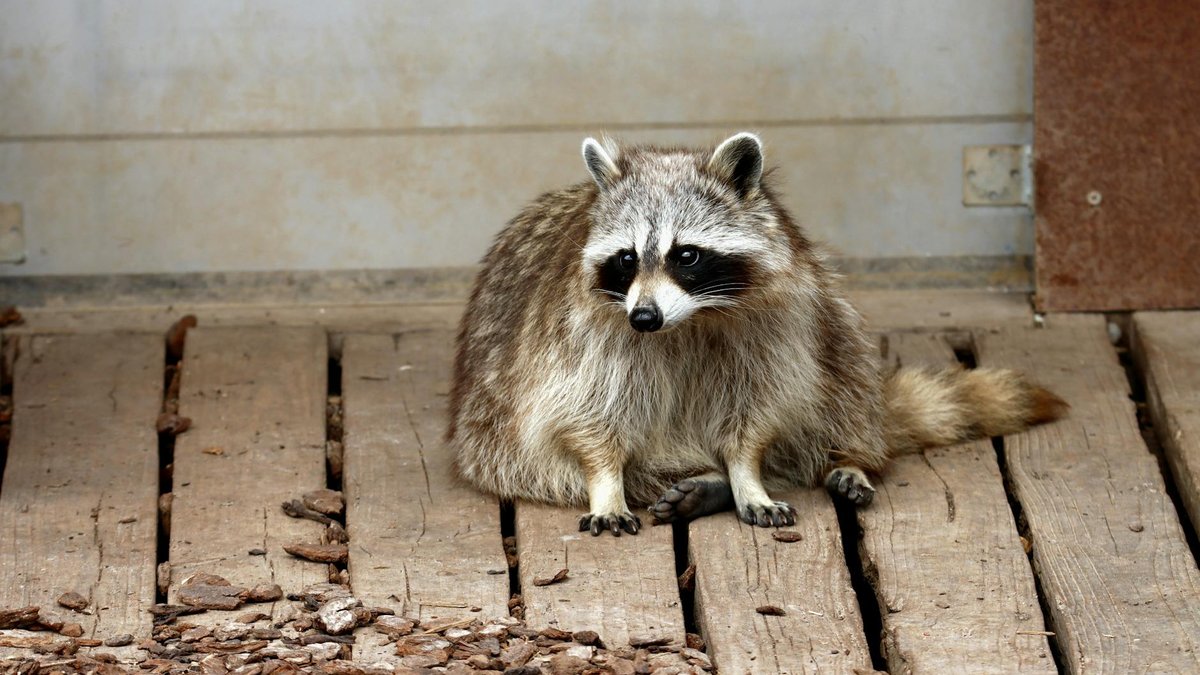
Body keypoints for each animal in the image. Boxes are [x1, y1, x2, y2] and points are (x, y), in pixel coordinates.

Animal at [448, 132, 1066, 536]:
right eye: (626, 259)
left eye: (686, 255)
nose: (644, 318)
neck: (688, 321)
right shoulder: (582, 335)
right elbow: (587, 412)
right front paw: (606, 482)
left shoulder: (779, 320)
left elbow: (759, 406)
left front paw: (746, 474)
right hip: (489, 432)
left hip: (829, 315)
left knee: (845, 366)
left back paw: (844, 457)